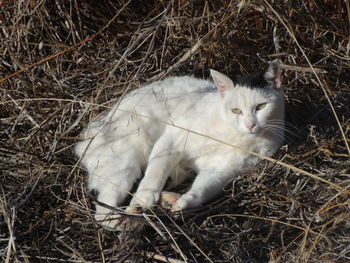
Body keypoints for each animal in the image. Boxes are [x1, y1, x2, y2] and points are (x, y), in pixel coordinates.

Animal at [74, 61, 284, 231]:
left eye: (261, 107)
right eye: (236, 110)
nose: (250, 125)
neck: (232, 134)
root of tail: (88, 134)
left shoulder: (223, 171)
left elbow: (202, 189)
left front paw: (183, 203)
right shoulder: (171, 140)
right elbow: (155, 174)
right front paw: (143, 201)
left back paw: (169, 200)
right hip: (124, 163)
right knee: (103, 211)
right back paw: (127, 220)